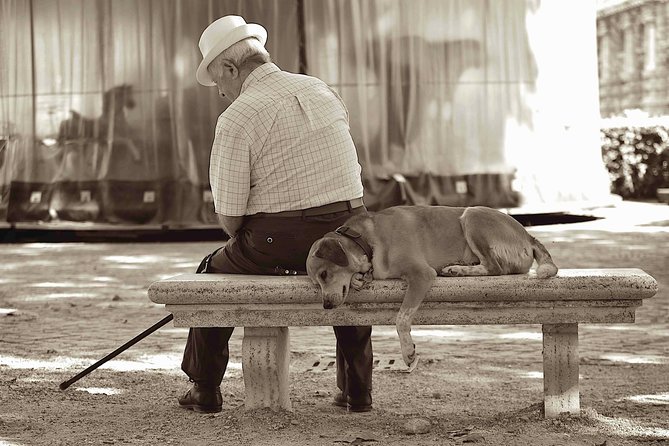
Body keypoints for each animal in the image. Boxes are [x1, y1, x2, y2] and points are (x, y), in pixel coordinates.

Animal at [306, 206, 556, 370]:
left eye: (324, 274)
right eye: (316, 283)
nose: (326, 306)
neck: (368, 240)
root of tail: (528, 235)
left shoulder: (421, 275)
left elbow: (401, 319)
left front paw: (408, 352)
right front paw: (359, 279)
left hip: (472, 216)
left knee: (495, 267)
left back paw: (458, 270)